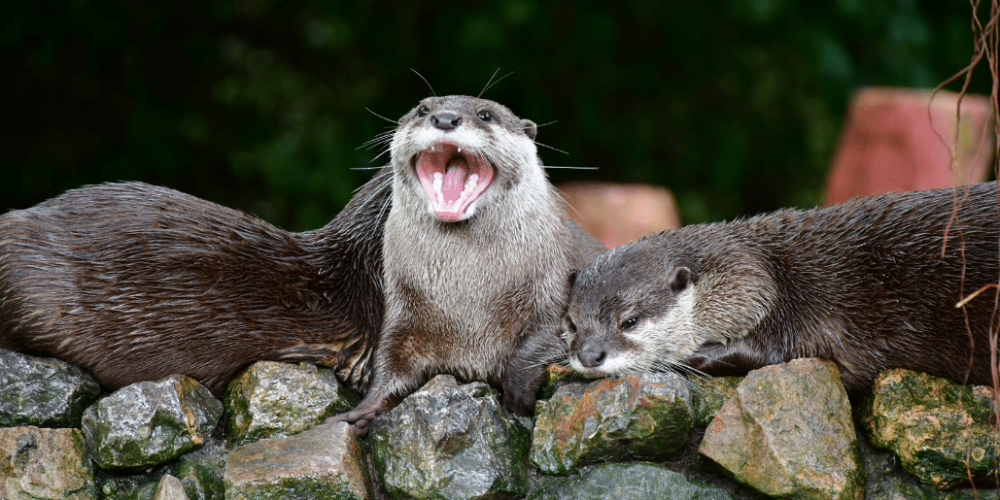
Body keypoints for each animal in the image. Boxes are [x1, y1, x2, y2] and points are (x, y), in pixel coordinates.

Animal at [332, 95, 604, 432]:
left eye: (485, 115)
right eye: (423, 109)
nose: (445, 118)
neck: (468, 305)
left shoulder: (554, 286)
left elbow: (545, 341)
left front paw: (516, 399)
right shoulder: (403, 309)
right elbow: (390, 362)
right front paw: (364, 410)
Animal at [564, 184, 1000, 390]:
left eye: (630, 321)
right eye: (571, 324)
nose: (589, 356)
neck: (776, 271)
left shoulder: (807, 307)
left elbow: (777, 350)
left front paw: (692, 357)